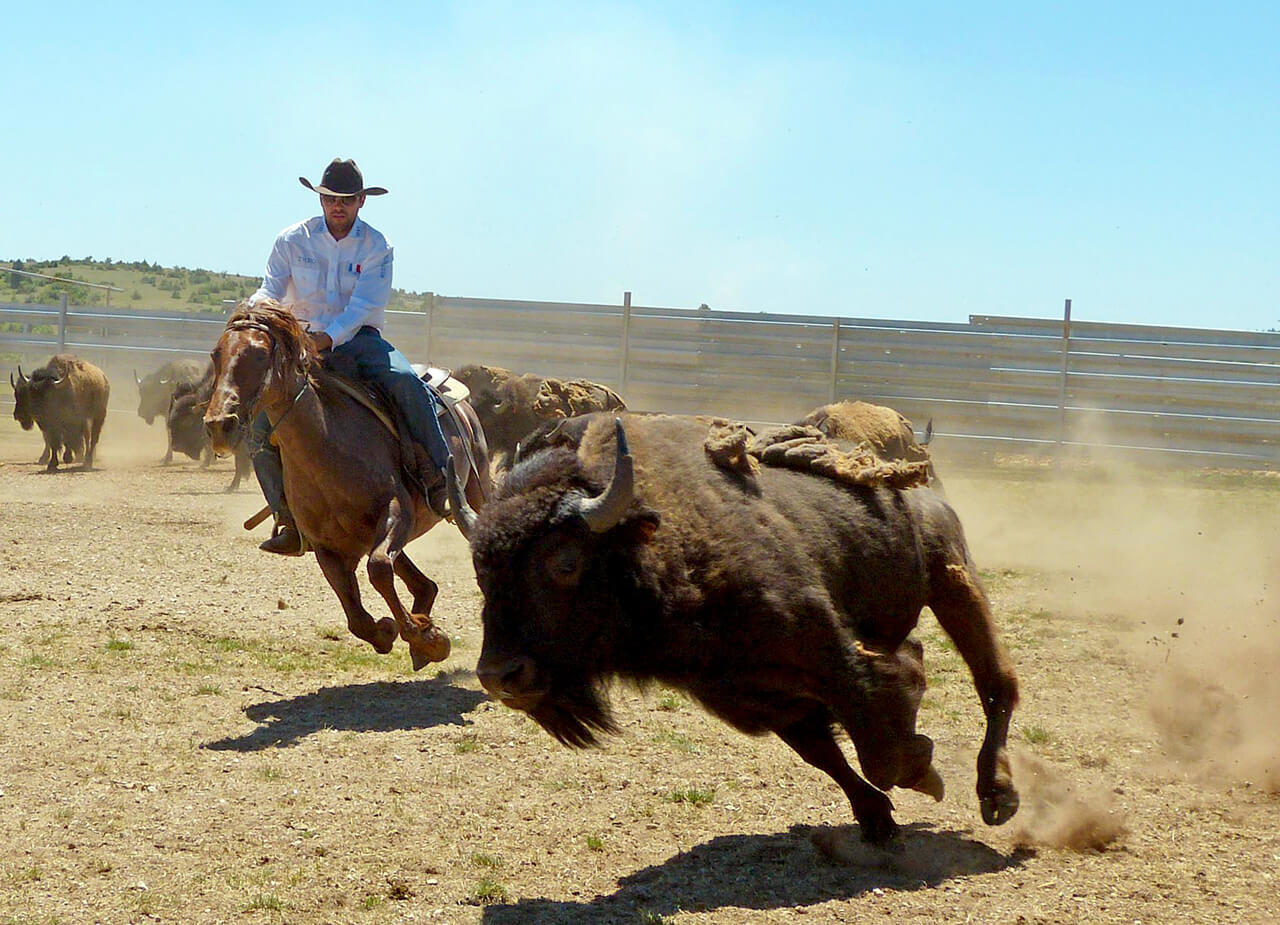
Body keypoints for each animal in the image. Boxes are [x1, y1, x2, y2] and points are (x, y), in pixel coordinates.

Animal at [449, 412, 1019, 847]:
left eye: (564, 562)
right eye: (480, 569)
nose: (501, 676)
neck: (660, 545)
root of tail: (918, 484)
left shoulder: (831, 658)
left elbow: (879, 741)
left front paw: (925, 774)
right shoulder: (758, 700)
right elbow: (825, 754)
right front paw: (877, 820)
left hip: (953, 580)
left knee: (997, 683)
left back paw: (999, 795)